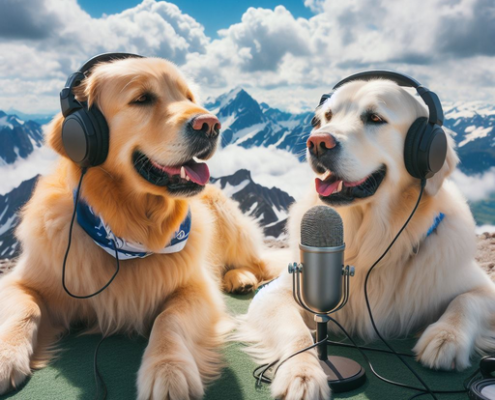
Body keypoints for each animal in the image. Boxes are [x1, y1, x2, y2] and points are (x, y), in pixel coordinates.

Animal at [0, 57, 274, 398]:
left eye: (188, 97)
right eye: (142, 98)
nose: (211, 124)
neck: (129, 228)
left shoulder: (196, 288)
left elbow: (168, 318)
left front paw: (168, 369)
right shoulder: (22, 280)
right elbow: (26, 309)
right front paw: (6, 354)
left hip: (229, 219)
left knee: (258, 263)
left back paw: (241, 277)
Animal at [237, 79, 495, 400]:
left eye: (374, 118)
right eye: (327, 117)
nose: (317, 142)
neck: (372, 238)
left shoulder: (480, 285)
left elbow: (465, 301)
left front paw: (445, 337)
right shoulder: (274, 295)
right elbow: (296, 332)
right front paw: (302, 372)